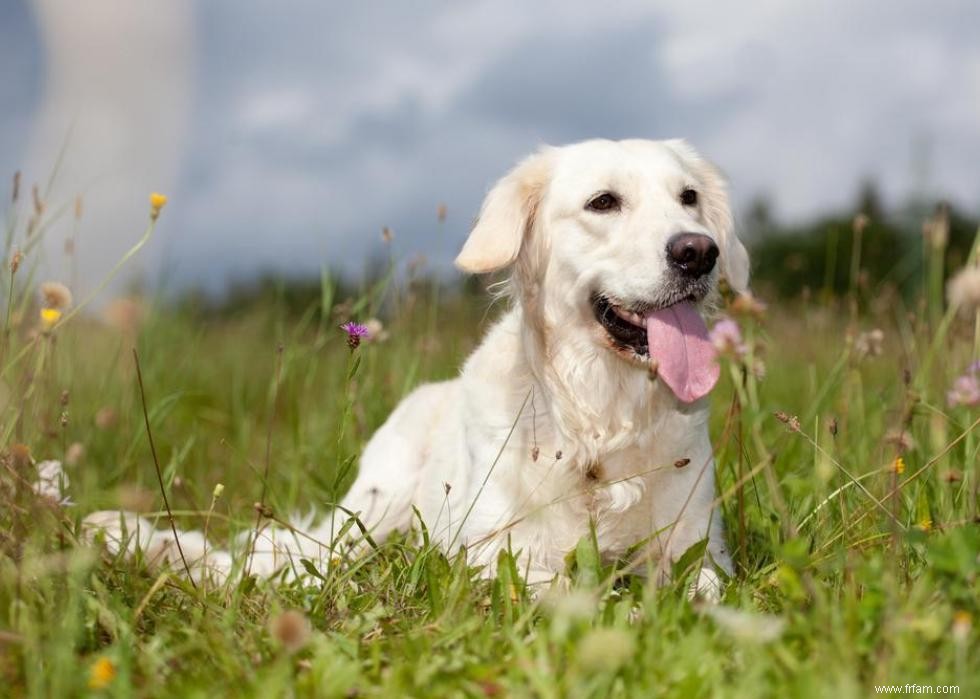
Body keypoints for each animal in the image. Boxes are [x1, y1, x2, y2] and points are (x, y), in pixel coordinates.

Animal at [88, 139, 756, 600]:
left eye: (689, 198)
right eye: (604, 202)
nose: (698, 251)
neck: (598, 422)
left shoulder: (699, 548)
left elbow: (704, 590)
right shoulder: (494, 556)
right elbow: (564, 589)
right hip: (372, 513)